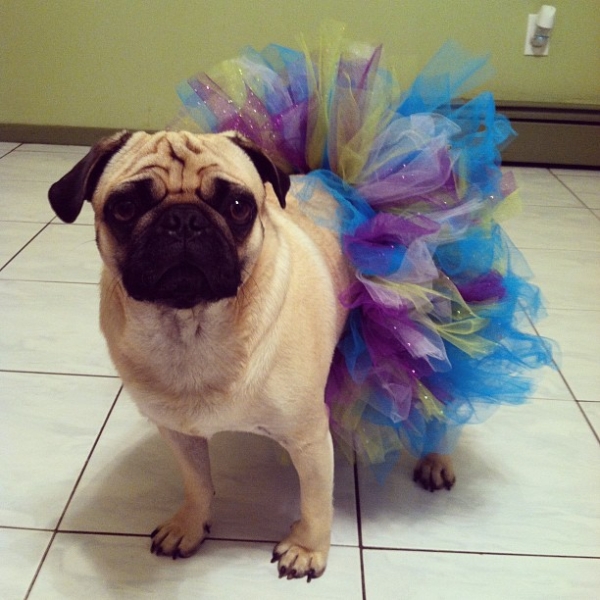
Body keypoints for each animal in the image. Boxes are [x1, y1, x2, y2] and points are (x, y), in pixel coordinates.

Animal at [48, 130, 454, 580]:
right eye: (125, 208)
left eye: (239, 207)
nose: (183, 219)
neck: (190, 329)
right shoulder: (177, 432)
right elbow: (197, 483)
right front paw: (190, 524)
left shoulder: (309, 437)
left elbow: (316, 501)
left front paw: (307, 548)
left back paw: (437, 458)